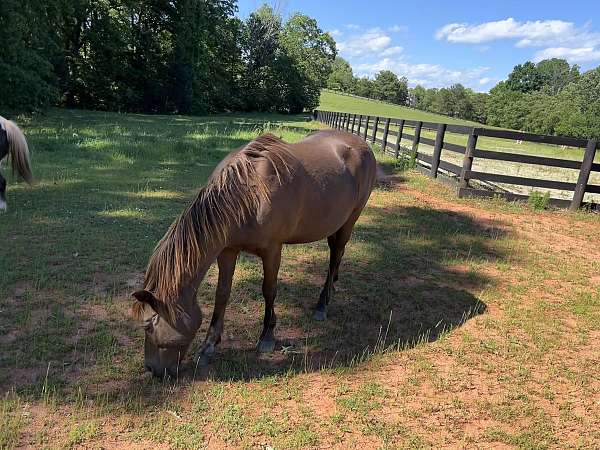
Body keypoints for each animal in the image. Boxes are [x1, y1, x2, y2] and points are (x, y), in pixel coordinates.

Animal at [132, 131, 376, 380]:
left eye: (148, 325)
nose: (152, 369)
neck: (250, 193)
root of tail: (361, 144)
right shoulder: (227, 251)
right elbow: (222, 293)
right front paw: (209, 346)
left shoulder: (272, 250)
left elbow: (269, 290)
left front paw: (267, 337)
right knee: (336, 255)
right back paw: (331, 290)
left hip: (350, 220)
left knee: (336, 255)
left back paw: (321, 306)